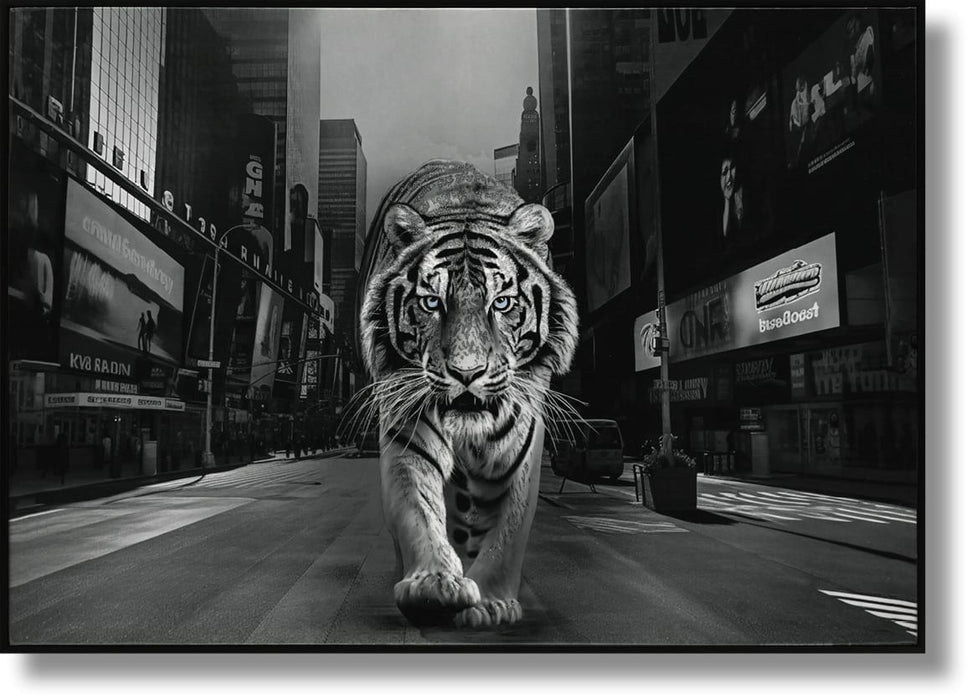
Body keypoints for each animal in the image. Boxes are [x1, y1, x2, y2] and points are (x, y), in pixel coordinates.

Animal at [352, 160, 579, 628]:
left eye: (502, 303)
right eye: (431, 302)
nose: (467, 372)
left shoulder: (521, 441)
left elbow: (509, 528)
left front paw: (491, 601)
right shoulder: (407, 428)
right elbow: (417, 507)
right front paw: (434, 584)